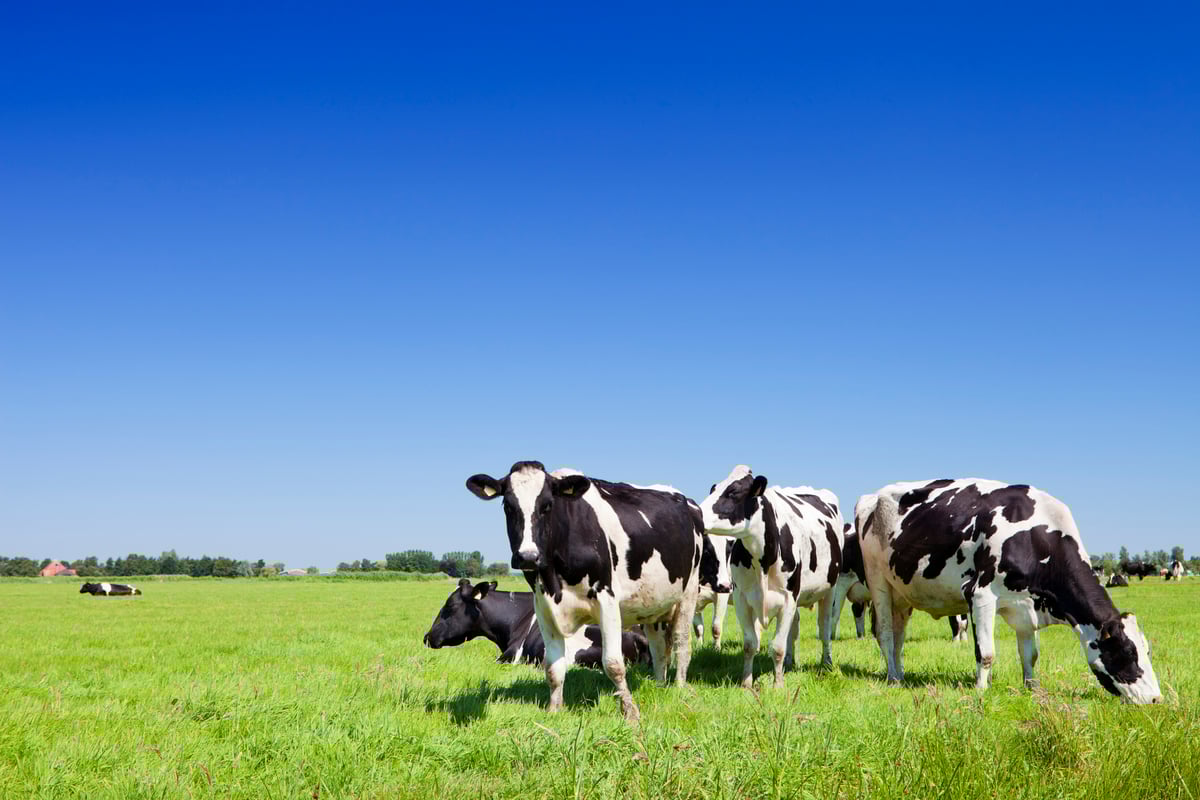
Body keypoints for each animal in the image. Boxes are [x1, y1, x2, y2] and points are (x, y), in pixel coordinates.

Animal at [466, 462, 702, 723]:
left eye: (548, 505)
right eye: (508, 506)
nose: (527, 556)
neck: (555, 579)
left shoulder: (607, 600)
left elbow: (613, 664)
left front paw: (630, 713)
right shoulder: (544, 607)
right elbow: (553, 667)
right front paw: (554, 710)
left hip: (688, 592)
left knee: (681, 642)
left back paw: (679, 688)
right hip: (653, 605)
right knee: (659, 646)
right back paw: (659, 685)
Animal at [699, 465, 842, 689]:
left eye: (733, 492)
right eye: (713, 490)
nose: (696, 513)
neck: (763, 560)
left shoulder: (788, 598)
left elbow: (777, 647)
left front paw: (778, 685)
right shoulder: (741, 598)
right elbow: (750, 644)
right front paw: (746, 683)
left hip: (830, 589)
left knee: (825, 628)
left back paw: (826, 663)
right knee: (795, 627)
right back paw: (790, 662)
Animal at [857, 478, 1161, 704]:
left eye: (1146, 650)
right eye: (1127, 651)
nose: (1156, 699)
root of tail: (872, 497)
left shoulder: (1027, 606)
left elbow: (1030, 655)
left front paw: (1032, 687)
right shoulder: (980, 595)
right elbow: (986, 653)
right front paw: (981, 690)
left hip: (902, 594)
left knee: (899, 637)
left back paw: (900, 673)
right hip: (878, 582)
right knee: (885, 634)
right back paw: (892, 679)